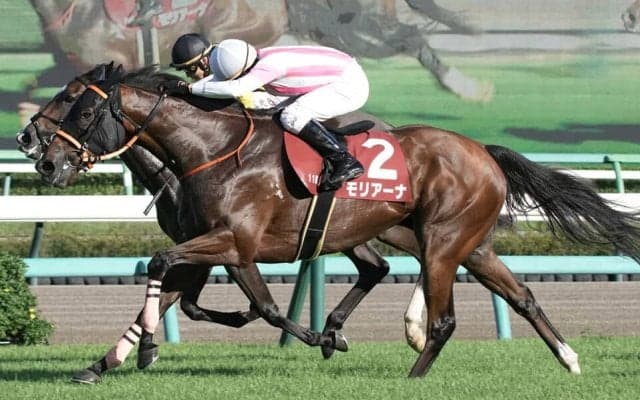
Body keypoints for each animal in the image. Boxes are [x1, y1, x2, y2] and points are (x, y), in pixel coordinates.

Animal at [34, 67, 640, 378]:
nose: (42, 156)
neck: (210, 149)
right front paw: (108, 361)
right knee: (520, 295)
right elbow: (185, 294)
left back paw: (413, 371)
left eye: (78, 107)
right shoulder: (217, 246)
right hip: (462, 241)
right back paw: (569, 358)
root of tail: (483, 150)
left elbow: (246, 300)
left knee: (441, 311)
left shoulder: (232, 241)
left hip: (443, 236)